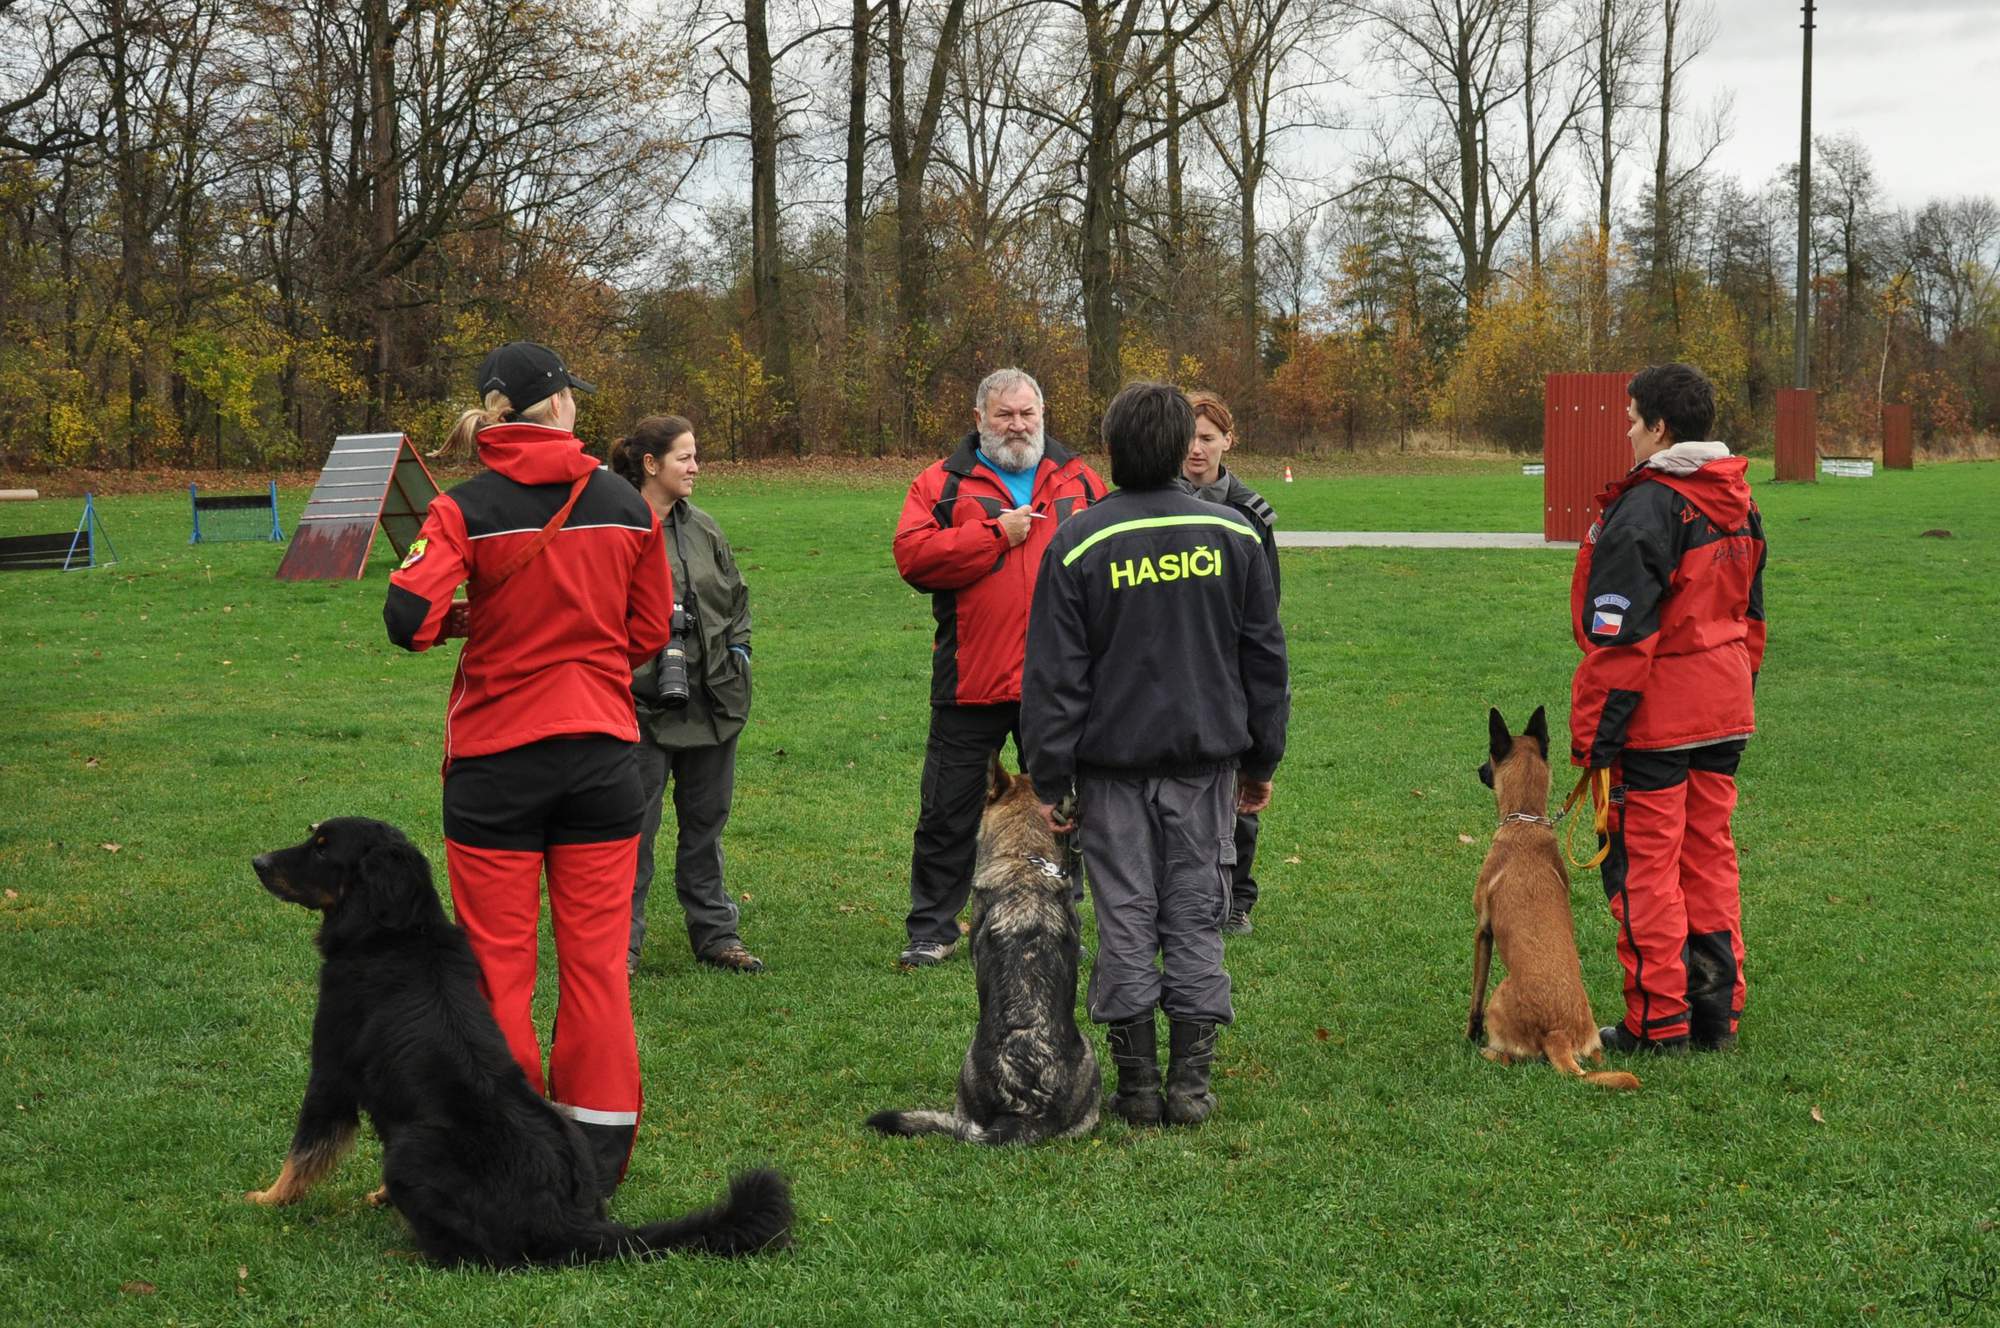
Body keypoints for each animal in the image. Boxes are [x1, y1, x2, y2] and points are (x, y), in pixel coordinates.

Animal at [256, 820, 796, 1264]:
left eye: (323, 849)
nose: (257, 862)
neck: (402, 932)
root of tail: (567, 1218)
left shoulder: (330, 1073)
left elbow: (303, 1152)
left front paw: (267, 1199)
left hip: (410, 1150)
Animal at [1472, 704, 1640, 1088]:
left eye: (1489, 755)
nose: (1478, 770)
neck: (1525, 822)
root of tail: (1558, 1034)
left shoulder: (1482, 931)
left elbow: (1474, 996)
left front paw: (1469, 1035)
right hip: (1592, 1041)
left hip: (1499, 996)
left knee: (1507, 1057)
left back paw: (1487, 1051)